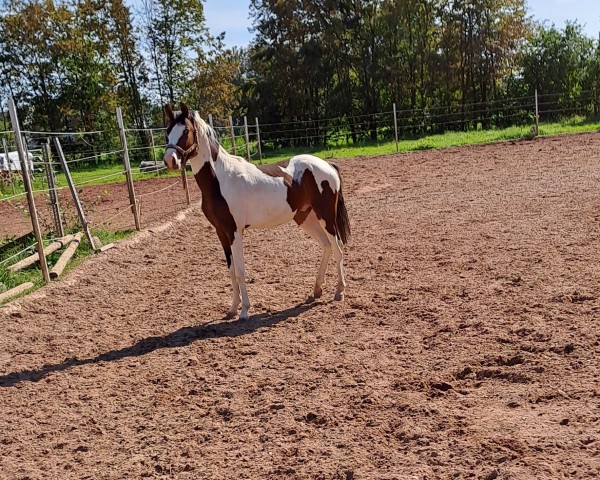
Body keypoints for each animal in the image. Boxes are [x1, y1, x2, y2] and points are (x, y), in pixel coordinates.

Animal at [164, 103, 352, 320]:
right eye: (168, 131)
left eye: (186, 131)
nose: (169, 160)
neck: (220, 180)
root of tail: (328, 165)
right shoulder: (221, 232)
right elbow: (231, 271)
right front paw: (232, 309)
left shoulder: (235, 232)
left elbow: (240, 271)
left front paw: (245, 310)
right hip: (306, 218)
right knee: (326, 246)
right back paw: (317, 290)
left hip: (326, 217)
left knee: (337, 248)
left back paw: (339, 291)